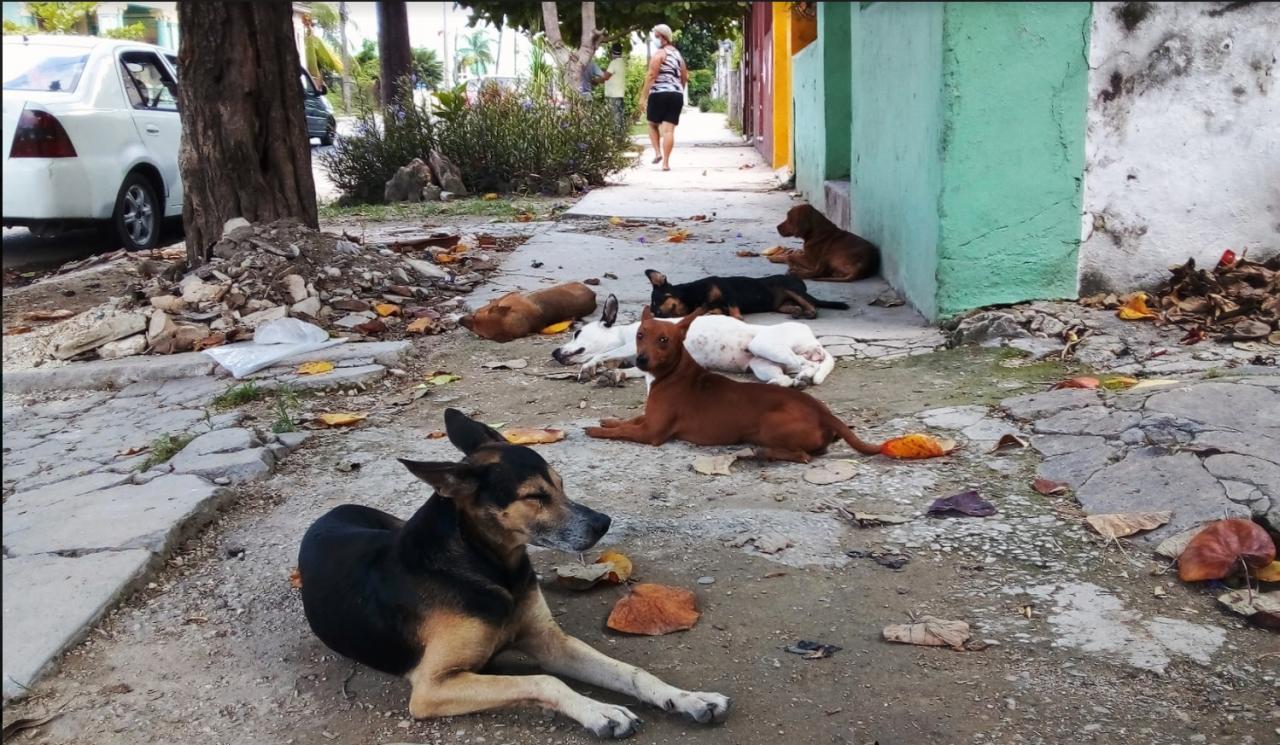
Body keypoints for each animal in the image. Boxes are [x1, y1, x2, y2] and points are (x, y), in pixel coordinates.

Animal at [296, 412, 732, 737]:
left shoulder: (551, 642)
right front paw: (600, 711)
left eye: (561, 484)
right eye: (535, 496)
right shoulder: (431, 687)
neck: (489, 566)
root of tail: (332, 511)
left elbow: (632, 672)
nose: (603, 523)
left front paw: (690, 697)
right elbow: (544, 681)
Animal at [552, 296, 839, 394]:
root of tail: (812, 337)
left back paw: (804, 377)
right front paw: (613, 374)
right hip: (761, 364)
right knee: (785, 377)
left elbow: (600, 356)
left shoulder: (629, 348)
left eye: (577, 333)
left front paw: (590, 367)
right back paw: (780, 384)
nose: (554, 352)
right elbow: (626, 368)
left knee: (806, 364)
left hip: (765, 345)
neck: (624, 332)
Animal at [586, 308, 885, 460]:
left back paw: (759, 451)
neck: (673, 372)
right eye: (640, 335)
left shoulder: (652, 433)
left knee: (803, 455)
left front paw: (596, 430)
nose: (640, 359)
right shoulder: (649, 419)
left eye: (663, 340)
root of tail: (826, 414)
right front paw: (609, 420)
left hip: (769, 417)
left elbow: (623, 431)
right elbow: (628, 420)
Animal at [650, 270, 849, 320]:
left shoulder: (728, 293)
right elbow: (714, 310)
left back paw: (809, 312)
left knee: (812, 305)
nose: (656, 314)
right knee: (793, 306)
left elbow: (733, 310)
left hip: (792, 289)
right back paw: (796, 311)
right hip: (780, 304)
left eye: (657, 300)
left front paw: (738, 318)